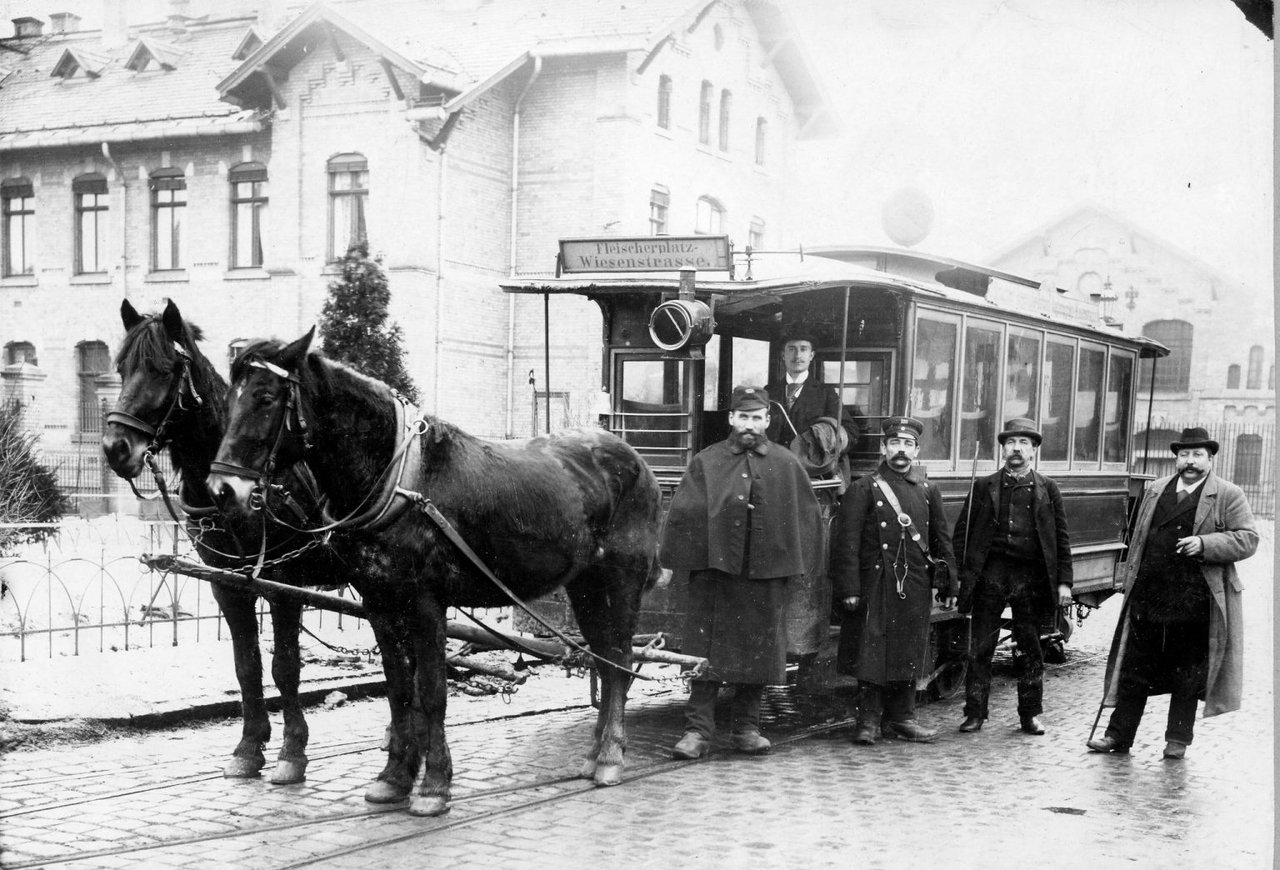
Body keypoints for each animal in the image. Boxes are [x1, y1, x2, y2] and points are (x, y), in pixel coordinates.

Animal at [98, 299, 360, 783]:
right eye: (121, 369)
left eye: (165, 370)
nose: (115, 448)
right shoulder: (228, 583)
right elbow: (246, 666)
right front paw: (249, 745)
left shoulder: (284, 585)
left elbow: (285, 667)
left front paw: (292, 751)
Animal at [207, 327, 660, 813]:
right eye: (229, 399)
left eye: (266, 396)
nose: (222, 489)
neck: (400, 481)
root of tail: (635, 459)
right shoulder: (380, 604)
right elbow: (399, 690)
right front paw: (394, 777)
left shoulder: (426, 603)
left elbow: (432, 693)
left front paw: (434, 785)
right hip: (586, 586)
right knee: (605, 660)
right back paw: (594, 754)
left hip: (623, 581)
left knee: (620, 661)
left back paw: (611, 756)